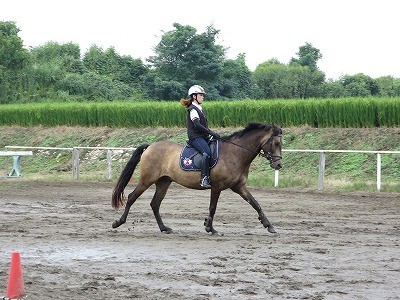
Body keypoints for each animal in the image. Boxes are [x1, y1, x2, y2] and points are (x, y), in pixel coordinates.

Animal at [111, 121, 282, 234]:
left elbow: (255, 203)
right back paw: (118, 222)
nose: (279, 165)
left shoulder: (239, 186)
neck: (235, 153)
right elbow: (212, 207)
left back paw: (164, 228)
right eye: (276, 143)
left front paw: (269, 225)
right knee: (132, 197)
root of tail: (150, 147)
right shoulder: (217, 187)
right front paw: (210, 228)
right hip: (147, 180)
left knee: (155, 204)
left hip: (163, 182)